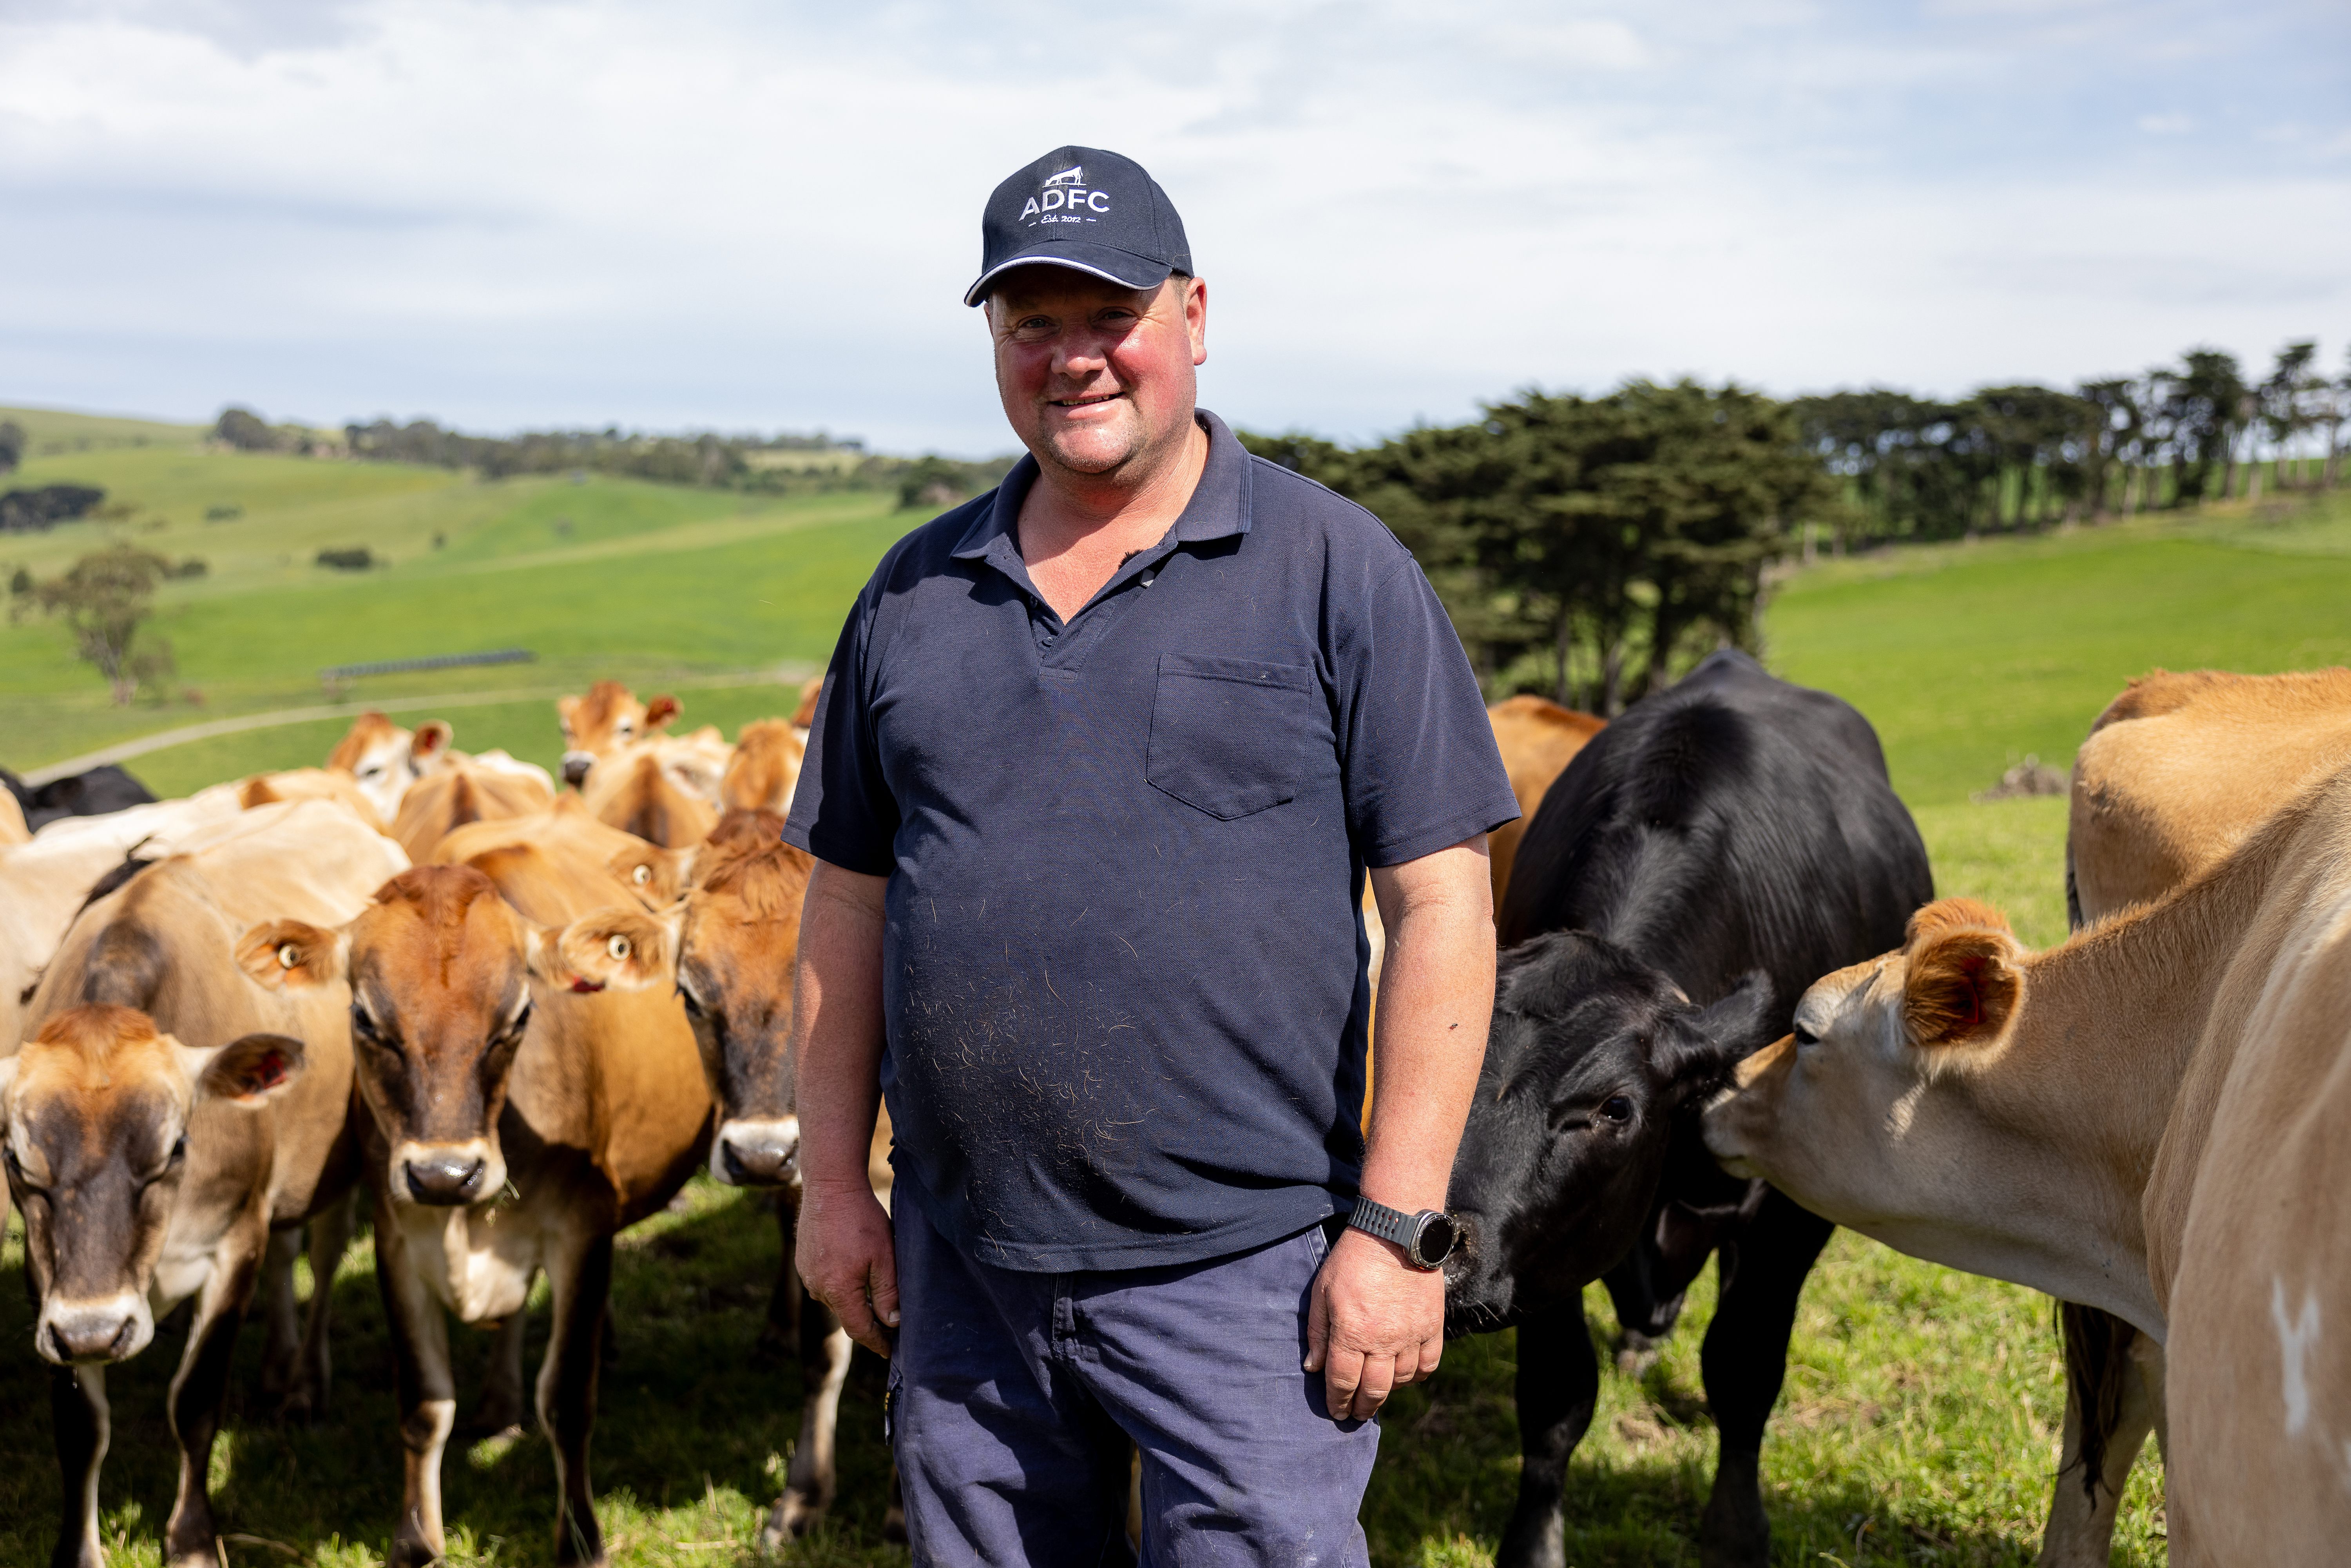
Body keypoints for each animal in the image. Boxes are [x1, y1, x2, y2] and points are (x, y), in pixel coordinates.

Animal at [1, 1007, 309, 1568]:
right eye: (15, 1159)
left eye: (176, 1148)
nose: (96, 1334)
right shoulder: (51, 1293)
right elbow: (81, 1427)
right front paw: (78, 1554)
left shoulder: (239, 1244)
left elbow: (194, 1400)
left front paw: (193, 1542)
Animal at [238, 849, 712, 1568]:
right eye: (366, 1020)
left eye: (518, 1017)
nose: (445, 1173)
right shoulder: (397, 1239)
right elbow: (424, 1402)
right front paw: (415, 1539)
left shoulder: (584, 1230)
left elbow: (568, 1397)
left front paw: (580, 1539)